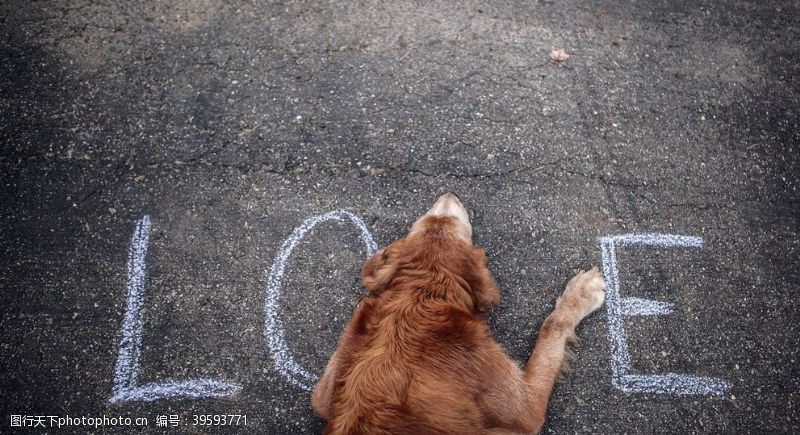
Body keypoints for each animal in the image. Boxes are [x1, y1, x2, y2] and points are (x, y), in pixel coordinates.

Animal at [310, 195, 604, 435]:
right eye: (452, 223)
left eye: (426, 220)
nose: (449, 194)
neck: (420, 297)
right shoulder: (526, 409)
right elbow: (552, 326)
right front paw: (582, 293)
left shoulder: (325, 391)